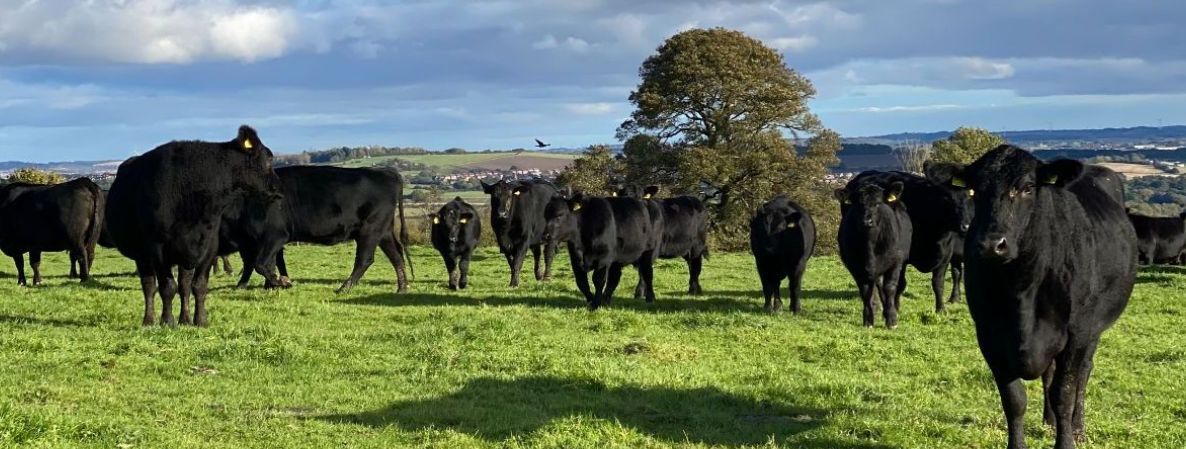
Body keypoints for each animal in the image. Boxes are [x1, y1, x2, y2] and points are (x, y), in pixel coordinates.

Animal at [105, 126, 287, 326]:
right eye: (269, 158)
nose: (280, 188)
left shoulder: (208, 246)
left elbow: (198, 286)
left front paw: (200, 320)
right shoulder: (157, 248)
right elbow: (167, 287)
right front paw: (167, 321)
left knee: (184, 286)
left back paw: (185, 319)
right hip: (142, 255)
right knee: (149, 286)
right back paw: (149, 320)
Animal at [235, 165, 412, 293]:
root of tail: (386, 172)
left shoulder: (275, 235)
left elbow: (260, 264)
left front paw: (281, 282)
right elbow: (271, 263)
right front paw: (273, 286)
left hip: (370, 229)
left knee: (365, 259)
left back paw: (344, 288)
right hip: (383, 231)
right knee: (397, 256)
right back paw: (402, 289)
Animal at [835, 181, 912, 328]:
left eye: (877, 203)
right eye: (859, 204)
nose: (867, 221)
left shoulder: (895, 262)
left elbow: (890, 288)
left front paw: (892, 319)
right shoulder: (855, 266)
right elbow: (865, 291)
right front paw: (868, 320)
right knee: (877, 285)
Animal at [846, 170, 973, 312]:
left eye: (968, 196)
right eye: (947, 197)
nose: (966, 226)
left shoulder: (945, 255)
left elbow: (938, 283)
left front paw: (941, 309)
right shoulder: (902, 257)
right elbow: (901, 284)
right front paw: (895, 307)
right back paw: (877, 304)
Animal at [933, 145, 1136, 449]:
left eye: (1027, 188)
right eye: (974, 190)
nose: (991, 244)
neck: (1022, 289)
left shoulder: (1077, 334)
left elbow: (1064, 393)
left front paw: (1067, 442)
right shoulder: (989, 336)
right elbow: (1015, 400)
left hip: (1093, 329)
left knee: (1083, 373)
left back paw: (1078, 428)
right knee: (1049, 375)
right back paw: (1049, 421)